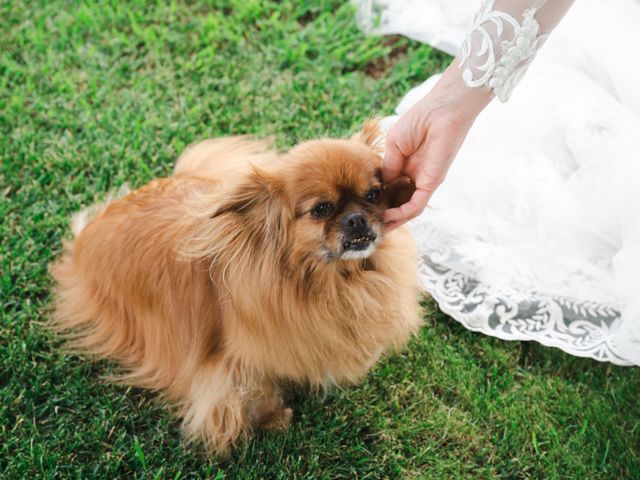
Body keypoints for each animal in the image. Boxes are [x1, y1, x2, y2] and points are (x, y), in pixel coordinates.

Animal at [48, 120, 420, 454]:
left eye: (374, 194)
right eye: (321, 209)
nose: (357, 218)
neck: (329, 279)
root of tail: (86, 234)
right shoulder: (233, 367)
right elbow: (253, 393)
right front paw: (273, 418)